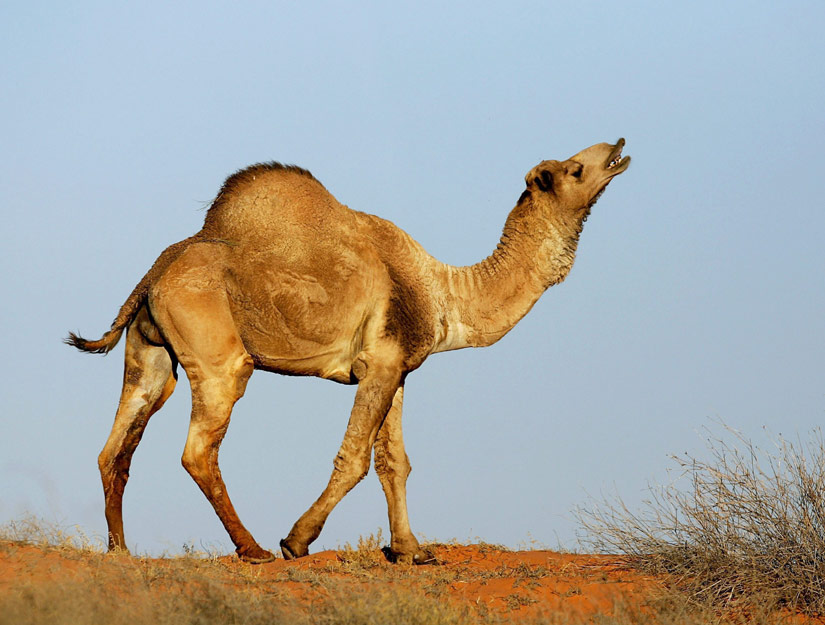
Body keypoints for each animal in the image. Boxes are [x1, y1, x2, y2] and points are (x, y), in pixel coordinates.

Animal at [66, 139, 630, 564]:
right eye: (574, 168)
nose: (618, 147)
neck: (444, 293)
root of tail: (156, 271)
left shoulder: (396, 368)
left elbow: (395, 462)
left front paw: (410, 551)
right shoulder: (380, 363)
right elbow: (354, 458)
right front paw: (296, 540)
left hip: (150, 355)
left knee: (115, 446)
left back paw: (120, 551)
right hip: (219, 358)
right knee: (198, 450)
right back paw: (254, 550)